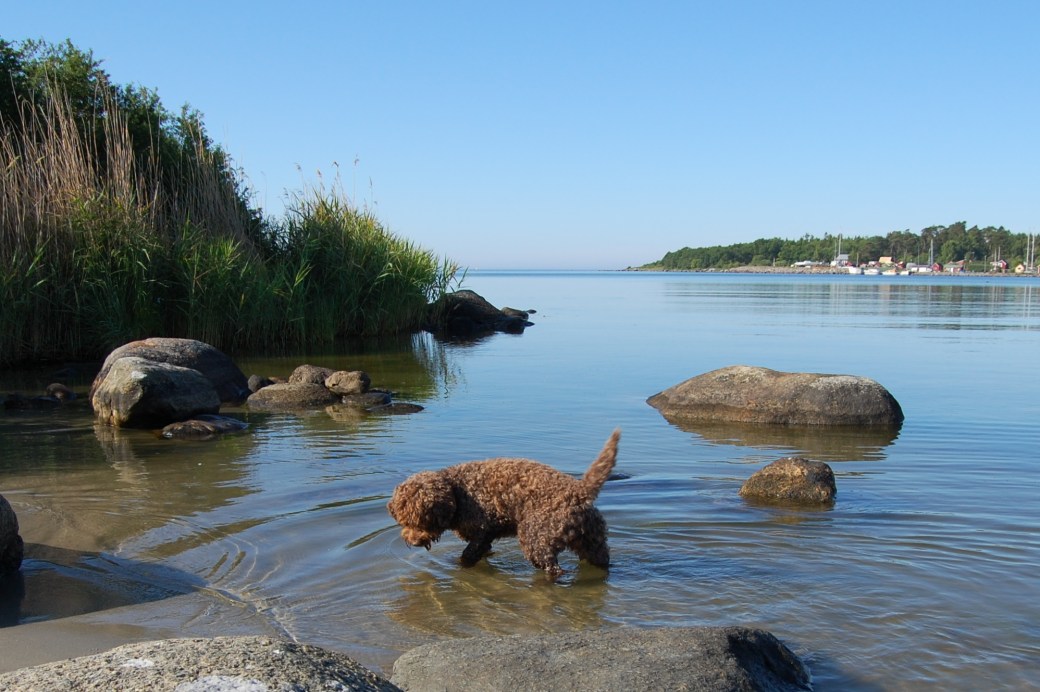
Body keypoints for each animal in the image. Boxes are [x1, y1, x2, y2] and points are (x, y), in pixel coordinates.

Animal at [387, 429, 620, 577]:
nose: (412, 541)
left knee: (552, 568)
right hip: (592, 541)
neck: (456, 493)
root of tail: (579, 491)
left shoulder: (481, 533)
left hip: (537, 541)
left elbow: (468, 555)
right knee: (601, 559)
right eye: (403, 521)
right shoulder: (482, 538)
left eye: (420, 521)